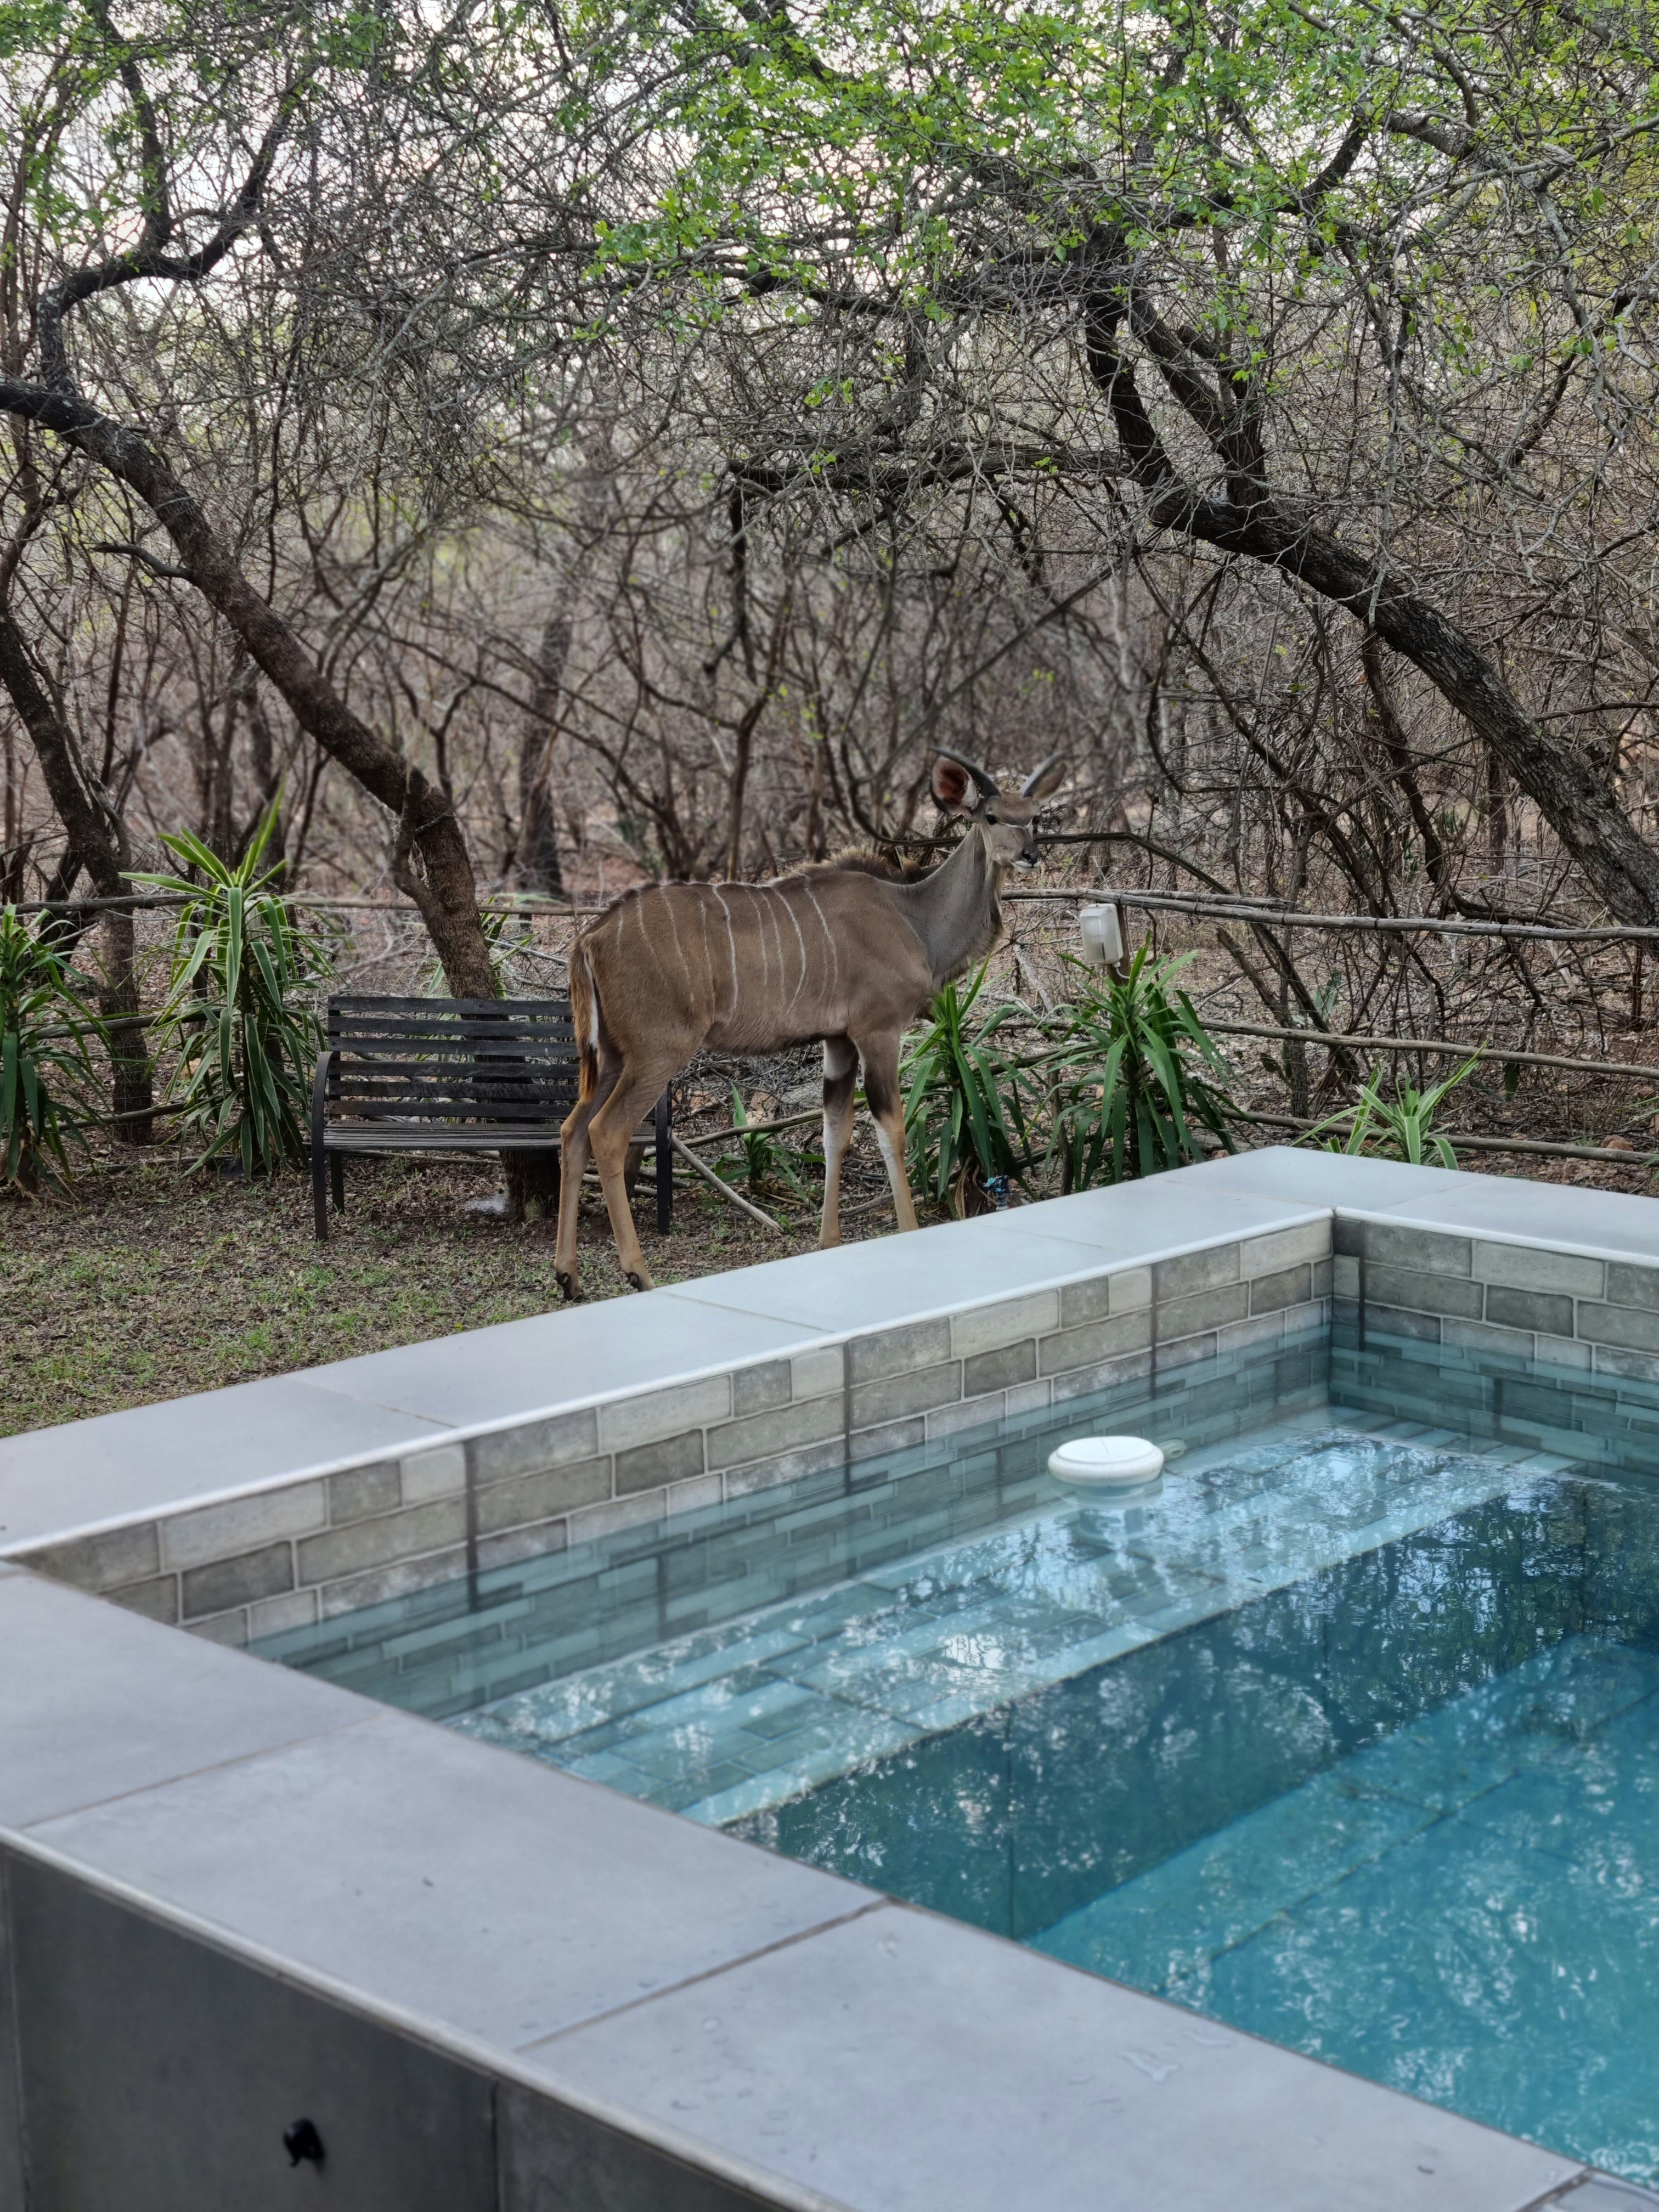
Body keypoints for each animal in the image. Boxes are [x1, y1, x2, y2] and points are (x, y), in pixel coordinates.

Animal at [553, 748, 1067, 1297]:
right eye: (991, 817)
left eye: (1033, 816)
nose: (1031, 854)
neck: (912, 916)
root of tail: (590, 937)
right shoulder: (878, 1031)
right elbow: (891, 1129)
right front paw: (908, 1232)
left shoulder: (837, 1041)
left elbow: (834, 1132)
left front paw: (828, 1244)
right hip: (657, 1052)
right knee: (608, 1132)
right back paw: (638, 1273)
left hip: (612, 1055)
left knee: (573, 1130)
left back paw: (569, 1277)